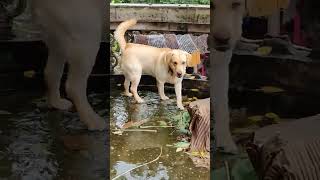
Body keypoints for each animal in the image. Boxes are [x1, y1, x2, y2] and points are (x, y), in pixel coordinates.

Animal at [31, 0, 106, 130]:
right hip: (86, 30)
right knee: (74, 87)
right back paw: (93, 121)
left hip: (57, 36)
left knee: (51, 72)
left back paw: (56, 103)